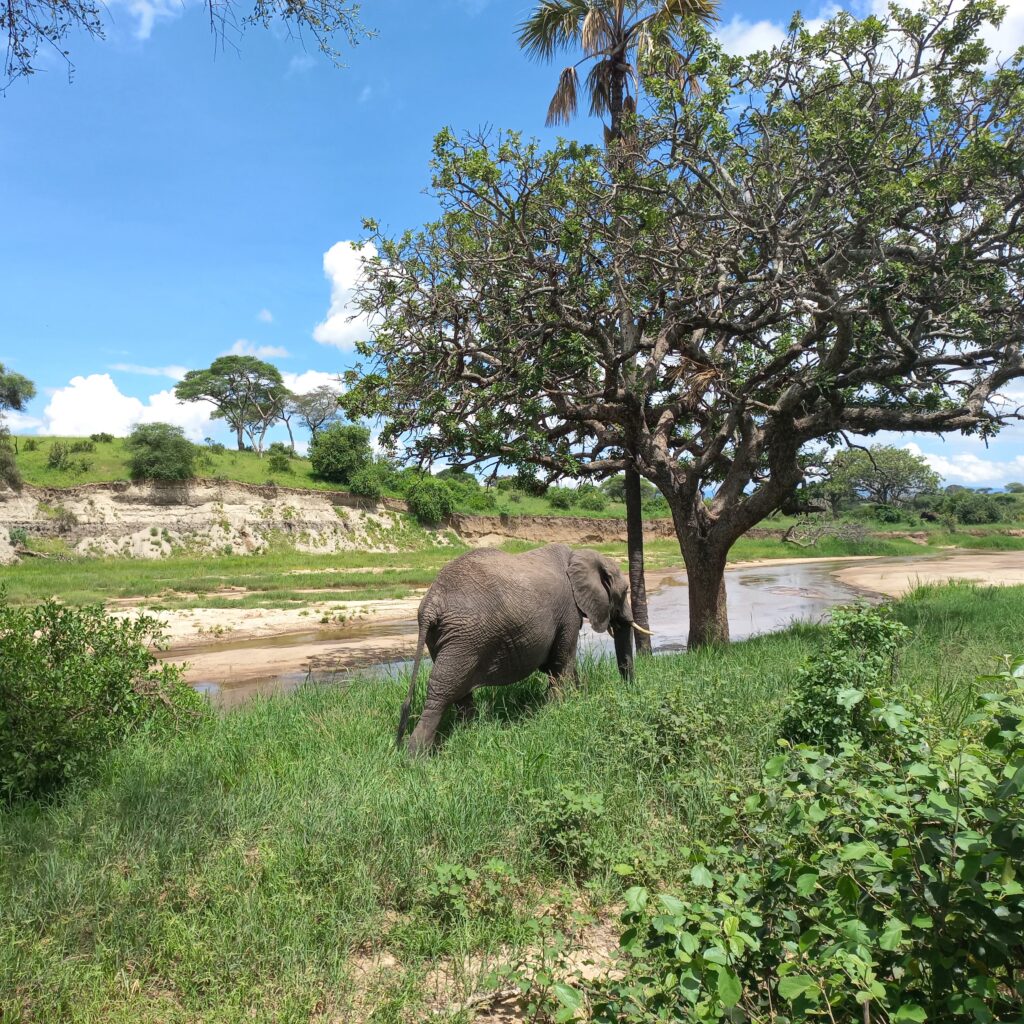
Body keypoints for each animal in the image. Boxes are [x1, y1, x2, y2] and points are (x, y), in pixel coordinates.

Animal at [395, 544, 651, 753]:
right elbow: (562, 661)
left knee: (458, 690)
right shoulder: (568, 611)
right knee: (443, 689)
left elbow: (556, 664)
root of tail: (431, 602)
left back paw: (468, 731)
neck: (579, 555)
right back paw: (416, 757)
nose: (629, 690)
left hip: (447, 638)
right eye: (625, 591)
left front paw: (575, 700)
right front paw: (557, 711)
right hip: (464, 638)